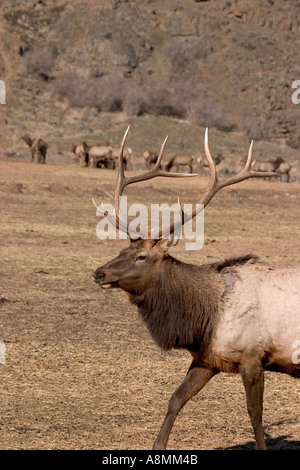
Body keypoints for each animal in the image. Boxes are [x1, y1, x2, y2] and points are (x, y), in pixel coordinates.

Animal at [94, 126, 300, 450]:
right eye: (122, 250)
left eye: (141, 257)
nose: (99, 273)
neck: (206, 318)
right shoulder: (206, 359)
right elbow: (175, 399)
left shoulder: (253, 357)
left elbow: (255, 415)